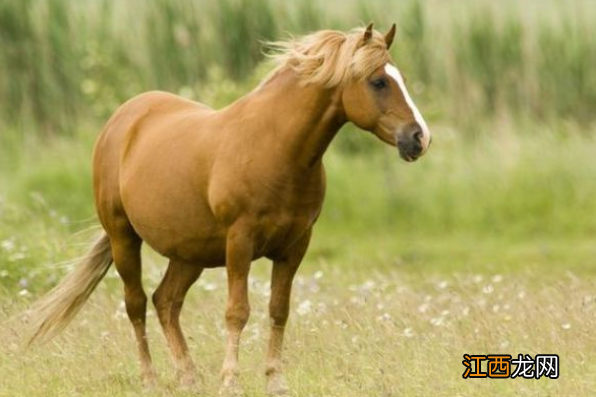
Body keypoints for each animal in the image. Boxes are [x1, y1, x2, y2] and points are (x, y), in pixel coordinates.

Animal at [28, 23, 430, 394]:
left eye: (400, 78)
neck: (276, 147)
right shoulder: (240, 241)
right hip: (123, 237)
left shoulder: (295, 246)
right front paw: (231, 381)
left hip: (189, 253)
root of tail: (124, 118)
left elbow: (279, 310)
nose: (419, 138)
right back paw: (150, 380)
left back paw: (188, 377)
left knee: (166, 301)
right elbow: (237, 312)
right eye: (378, 81)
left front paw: (275, 381)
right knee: (137, 303)